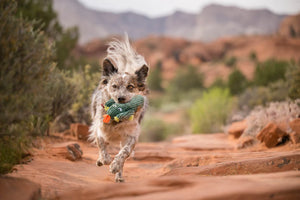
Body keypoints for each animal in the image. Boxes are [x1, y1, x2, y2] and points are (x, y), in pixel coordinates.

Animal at [89, 35, 149, 182]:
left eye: (130, 87)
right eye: (114, 86)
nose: (120, 99)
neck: (117, 119)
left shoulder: (132, 135)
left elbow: (124, 153)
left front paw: (115, 166)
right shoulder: (99, 128)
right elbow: (102, 146)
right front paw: (104, 160)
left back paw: (119, 175)